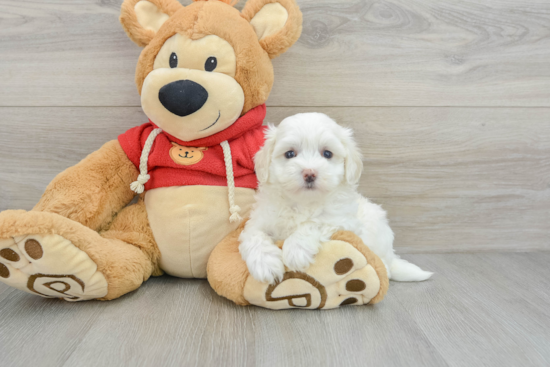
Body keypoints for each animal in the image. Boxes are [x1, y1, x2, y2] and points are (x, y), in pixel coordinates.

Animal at [239, 113, 434, 286]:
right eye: (289, 154)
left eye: (327, 154)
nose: (309, 173)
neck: (304, 202)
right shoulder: (260, 219)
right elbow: (253, 235)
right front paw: (265, 264)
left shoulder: (343, 221)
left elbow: (314, 223)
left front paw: (295, 250)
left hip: (377, 230)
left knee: (383, 263)